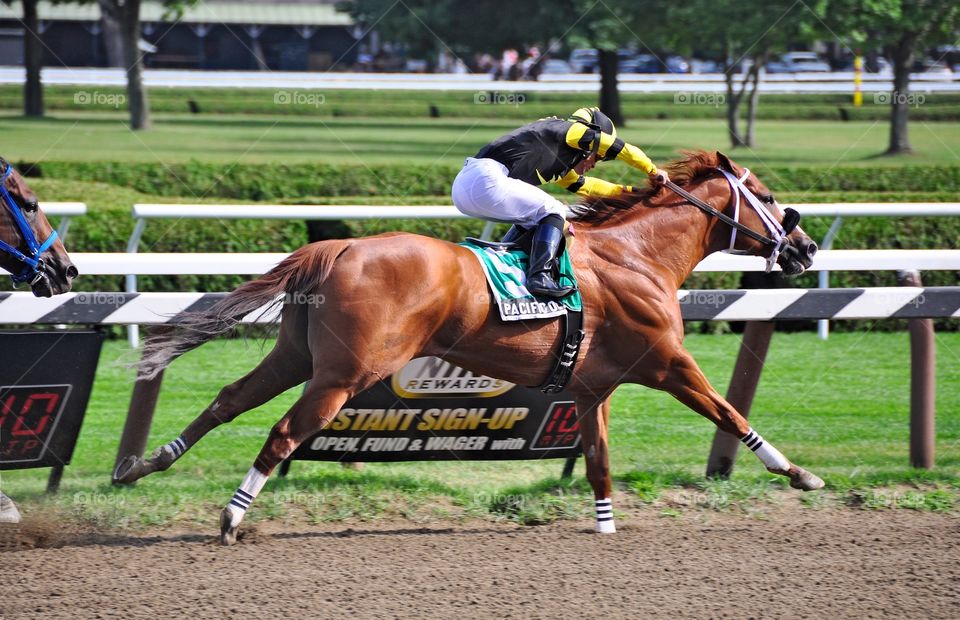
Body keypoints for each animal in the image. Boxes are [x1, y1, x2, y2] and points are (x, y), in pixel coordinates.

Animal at [116, 153, 824, 544]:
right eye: (765, 195)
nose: (806, 247)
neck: (637, 255)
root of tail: (339, 245)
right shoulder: (667, 362)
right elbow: (728, 411)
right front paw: (798, 473)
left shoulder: (592, 388)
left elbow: (598, 462)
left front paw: (605, 526)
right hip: (343, 374)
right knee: (285, 432)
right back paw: (232, 519)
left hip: (297, 355)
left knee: (228, 399)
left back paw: (142, 465)